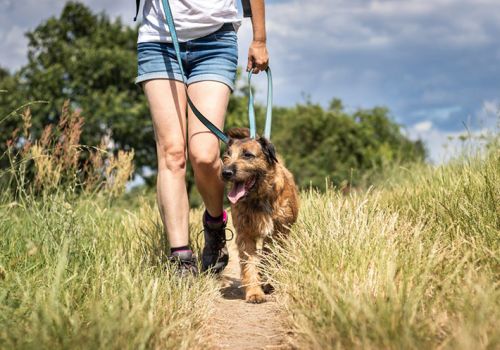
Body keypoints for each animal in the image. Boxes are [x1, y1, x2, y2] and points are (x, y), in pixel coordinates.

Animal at [222, 127, 298, 302]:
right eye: (227, 155)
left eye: (247, 155)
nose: (225, 172)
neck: (258, 198)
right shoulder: (245, 235)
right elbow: (249, 263)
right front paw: (254, 292)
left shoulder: (278, 233)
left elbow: (271, 258)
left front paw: (267, 283)